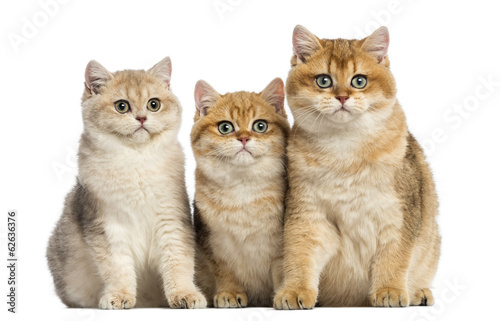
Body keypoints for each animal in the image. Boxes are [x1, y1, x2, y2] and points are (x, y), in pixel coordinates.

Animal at [45, 57, 205, 308]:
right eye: (122, 106)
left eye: (153, 104)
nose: (141, 118)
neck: (136, 161)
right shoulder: (108, 227)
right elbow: (117, 268)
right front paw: (119, 295)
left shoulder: (172, 222)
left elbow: (178, 263)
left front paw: (184, 294)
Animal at [192, 78, 292, 308]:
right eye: (225, 127)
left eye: (260, 126)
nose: (244, 138)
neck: (243, 188)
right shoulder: (213, 243)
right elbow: (224, 270)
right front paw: (229, 292)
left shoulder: (280, 246)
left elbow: (282, 269)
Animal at [274, 25, 442, 308]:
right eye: (324, 80)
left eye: (359, 81)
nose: (342, 97)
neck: (344, 152)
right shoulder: (309, 214)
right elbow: (300, 254)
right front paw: (295, 290)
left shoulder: (398, 215)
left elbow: (394, 258)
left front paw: (389, 290)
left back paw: (419, 292)